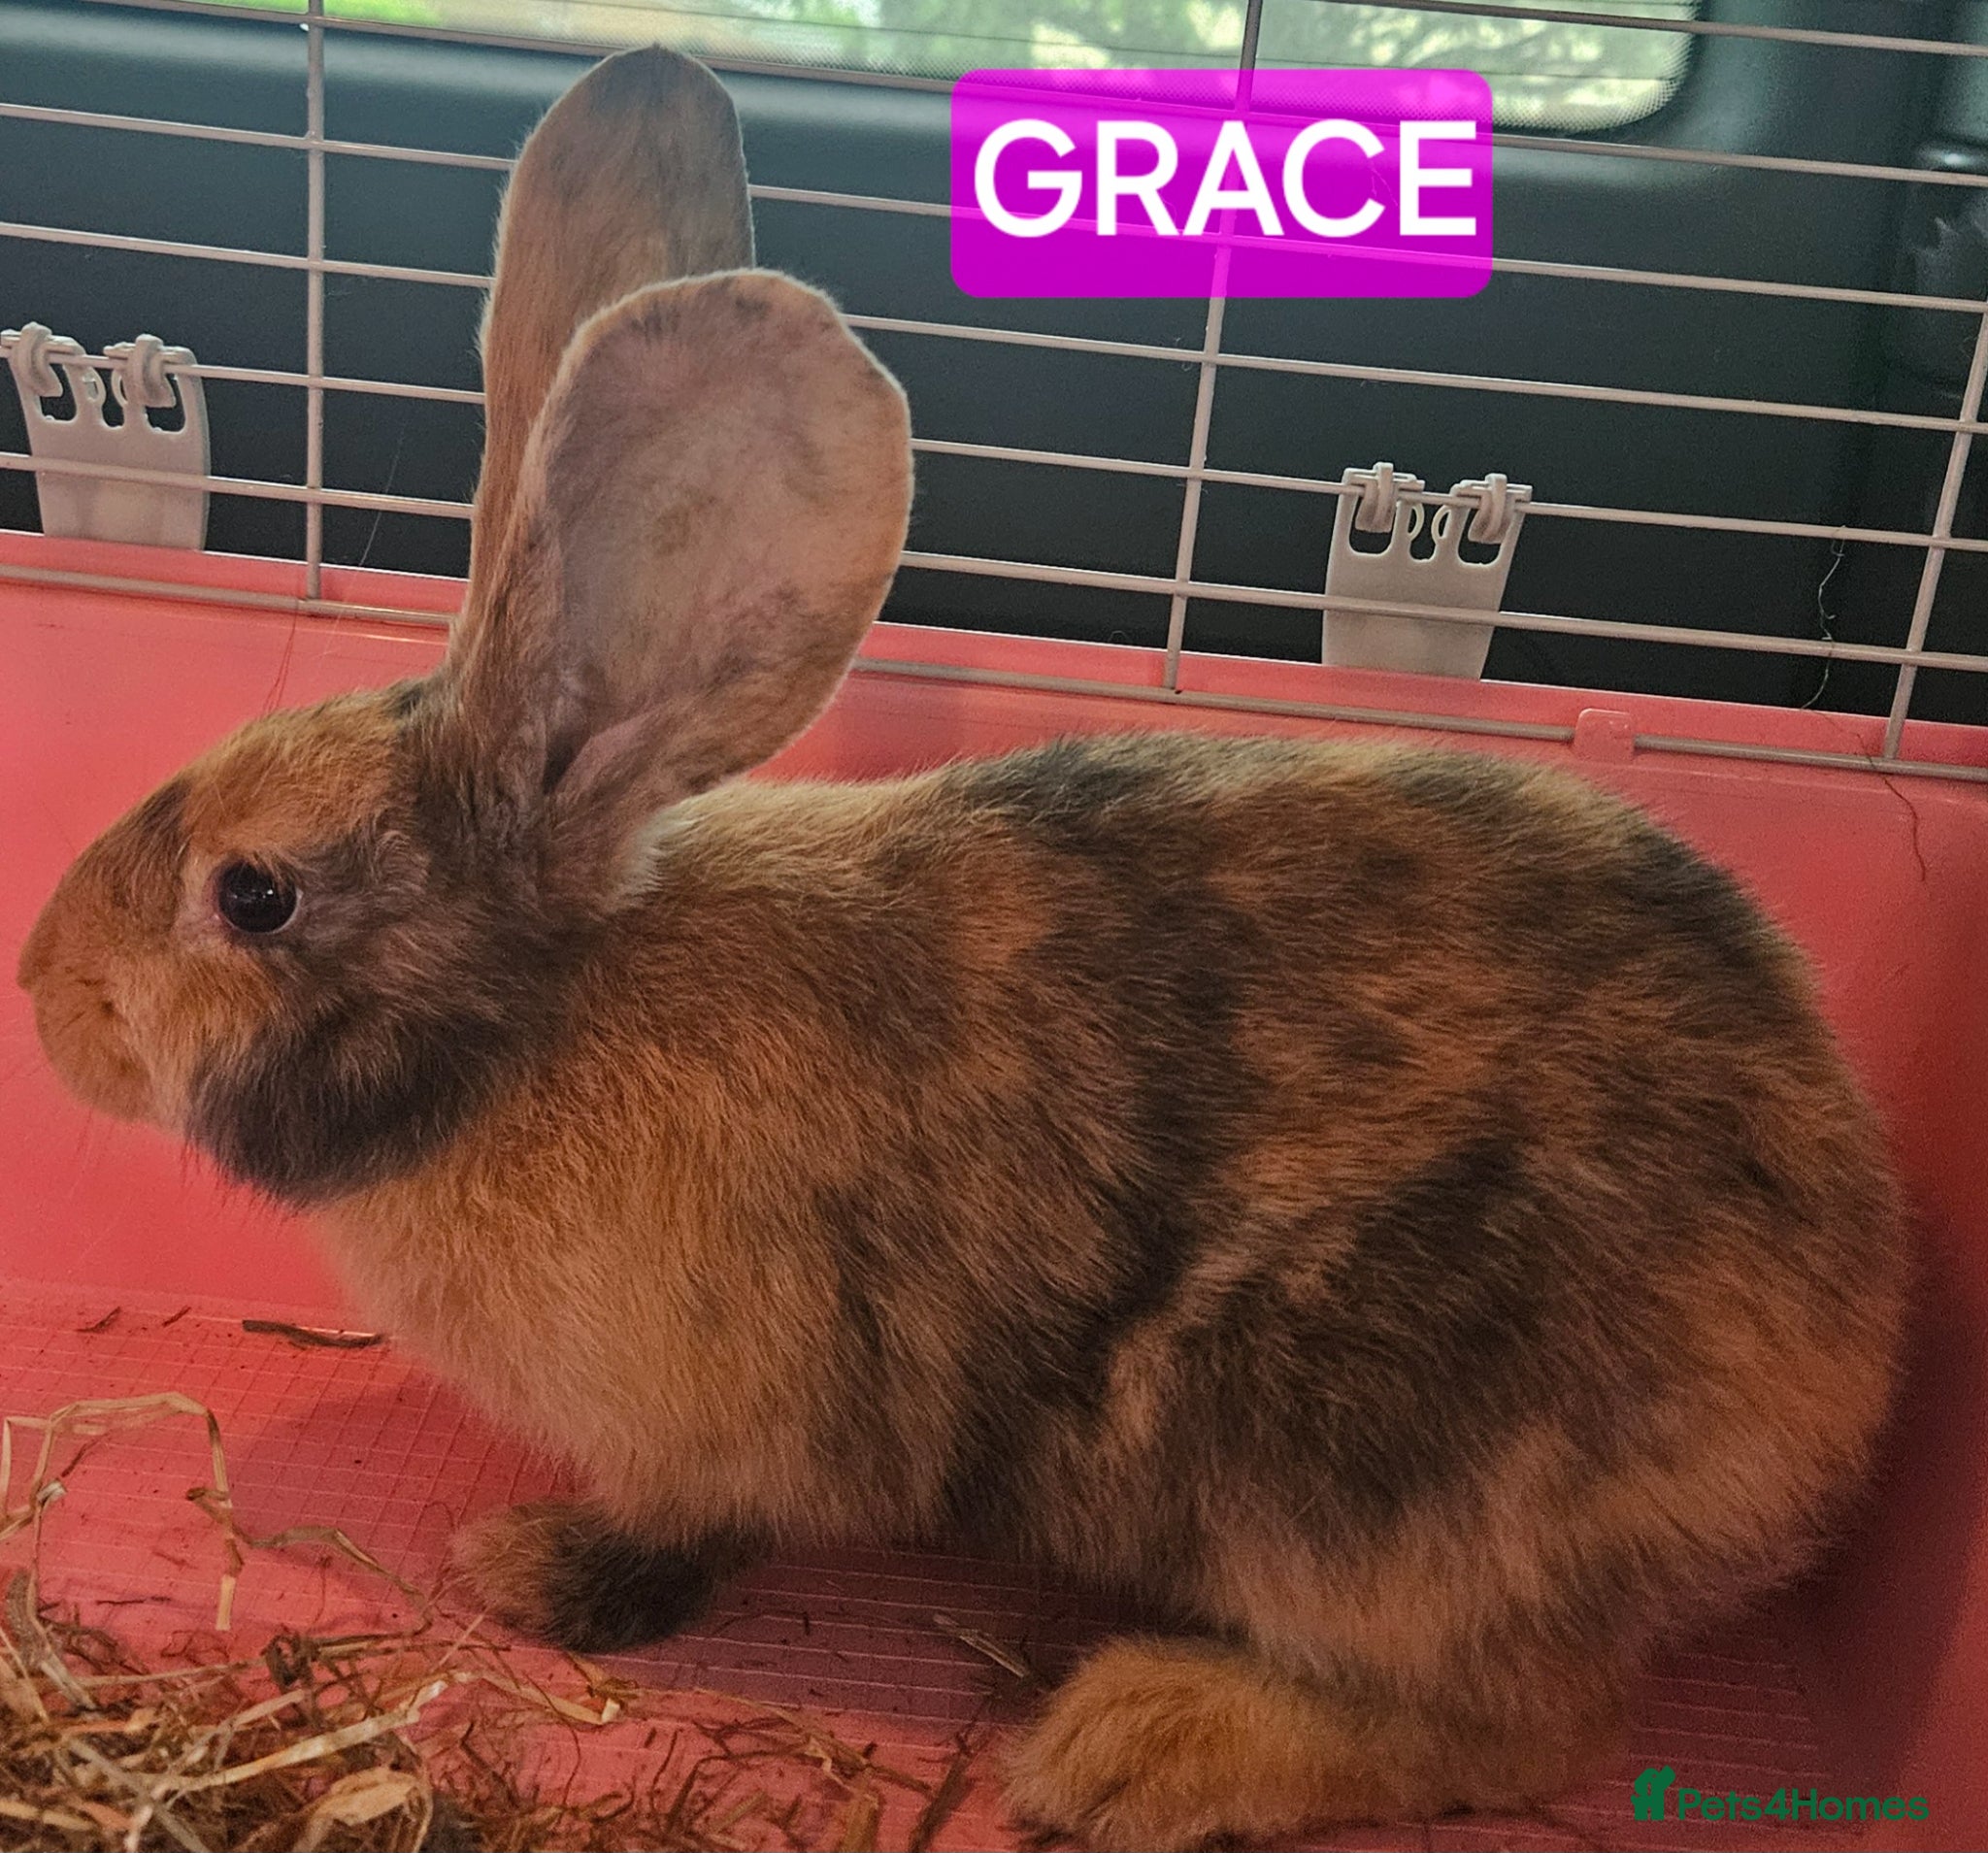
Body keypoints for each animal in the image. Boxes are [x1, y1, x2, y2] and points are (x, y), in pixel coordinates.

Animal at [16, 45, 1909, 1853]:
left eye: (253, 894)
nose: (45, 995)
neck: (533, 1030)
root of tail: (1850, 1365)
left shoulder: (715, 1435)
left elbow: (691, 1532)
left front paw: (534, 1569)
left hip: (1369, 1470)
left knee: (1524, 1723)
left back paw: (1136, 1740)